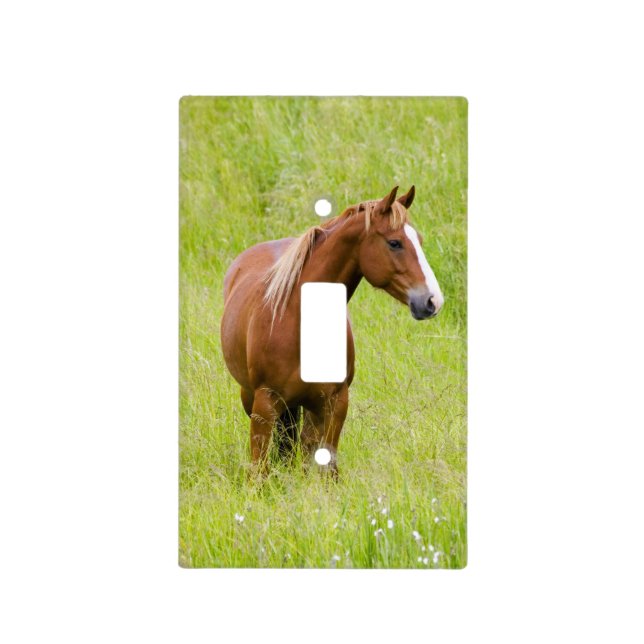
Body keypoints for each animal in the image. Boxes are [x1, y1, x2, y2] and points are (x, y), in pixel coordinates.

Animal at [220, 185, 444, 478]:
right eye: (395, 243)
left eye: (419, 240)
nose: (432, 301)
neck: (296, 322)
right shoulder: (264, 405)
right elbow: (259, 471)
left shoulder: (335, 404)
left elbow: (327, 470)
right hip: (253, 398)